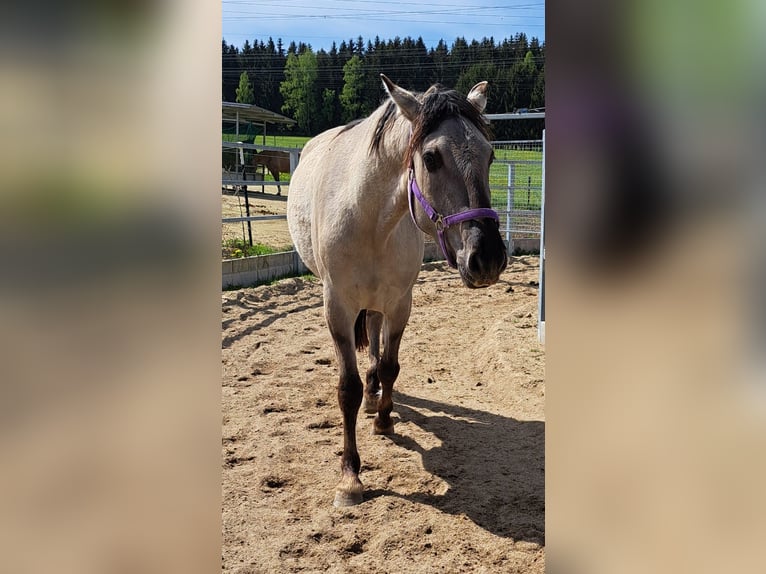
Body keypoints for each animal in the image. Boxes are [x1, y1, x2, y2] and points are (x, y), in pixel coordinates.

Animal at [284, 74, 508, 506]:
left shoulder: (401, 302)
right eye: (432, 158)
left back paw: (375, 399)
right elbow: (347, 388)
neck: (370, 217)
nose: (487, 258)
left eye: (490, 156)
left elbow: (390, 365)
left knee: (373, 333)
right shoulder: (337, 307)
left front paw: (385, 420)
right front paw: (350, 477)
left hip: (380, 302)